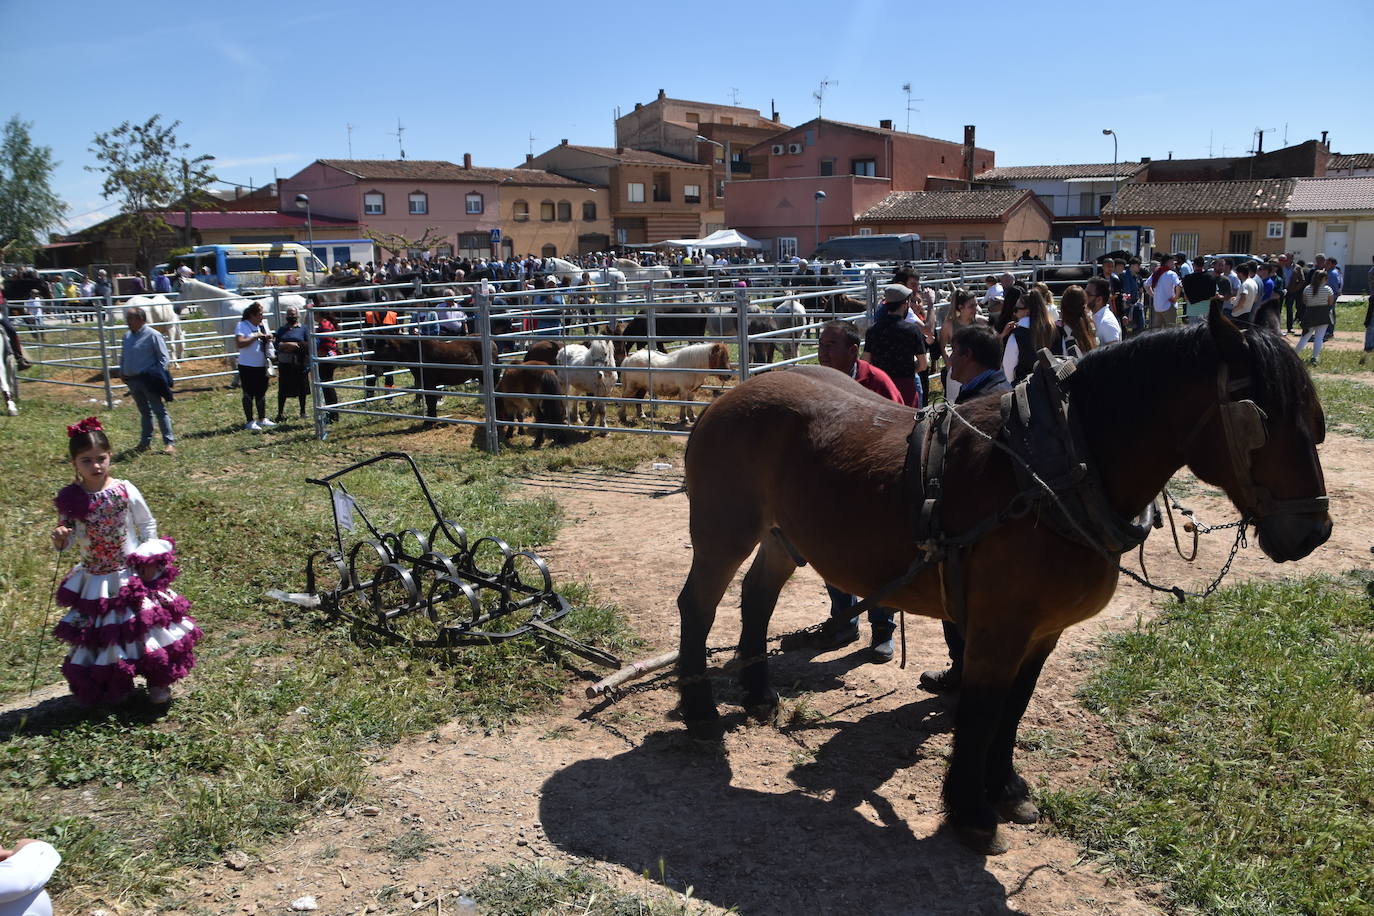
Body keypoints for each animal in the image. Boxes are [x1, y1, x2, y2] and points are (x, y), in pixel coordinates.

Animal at [676, 304, 1330, 856]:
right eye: (1263, 420)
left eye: (1316, 423)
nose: (1314, 531)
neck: (1051, 473)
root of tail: (725, 399)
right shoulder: (998, 629)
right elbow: (982, 713)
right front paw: (970, 813)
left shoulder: (1042, 632)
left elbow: (1014, 708)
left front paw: (1005, 787)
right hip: (724, 532)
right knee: (698, 606)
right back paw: (702, 713)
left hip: (782, 536)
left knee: (757, 597)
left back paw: (757, 693)